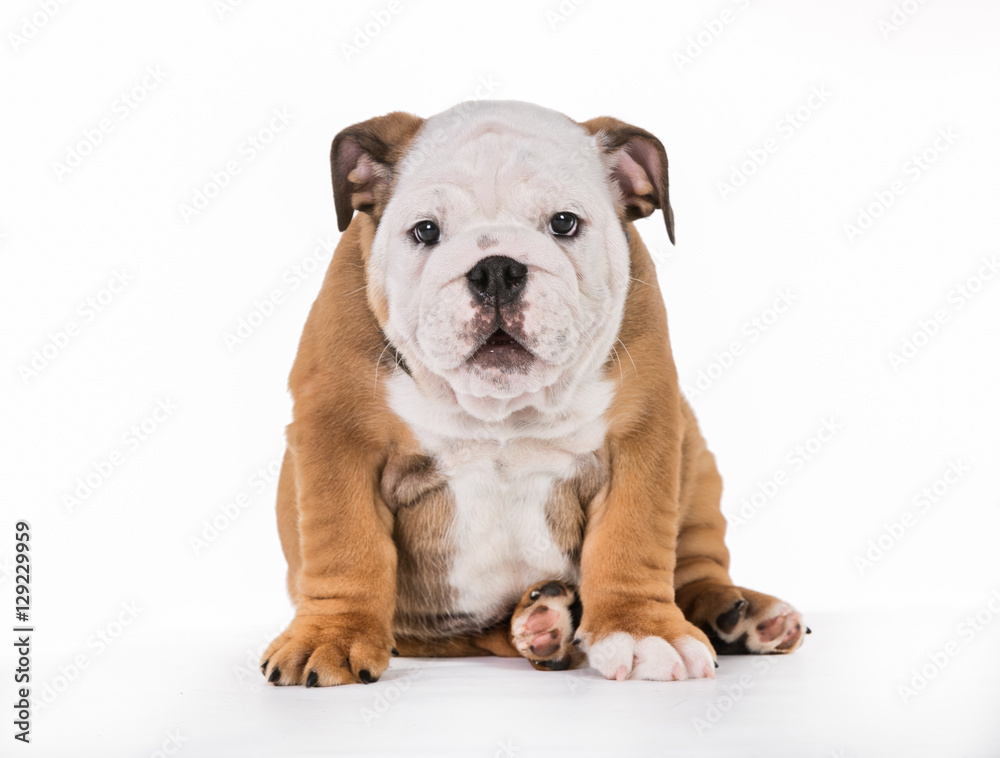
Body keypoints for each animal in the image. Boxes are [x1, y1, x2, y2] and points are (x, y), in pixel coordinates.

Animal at [262, 101, 808, 688]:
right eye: (426, 231)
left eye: (564, 223)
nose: (496, 268)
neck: (499, 410)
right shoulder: (338, 437)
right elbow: (345, 544)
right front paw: (331, 636)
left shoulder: (642, 434)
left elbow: (632, 538)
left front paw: (644, 631)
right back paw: (543, 624)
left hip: (699, 468)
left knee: (694, 565)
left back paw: (735, 614)